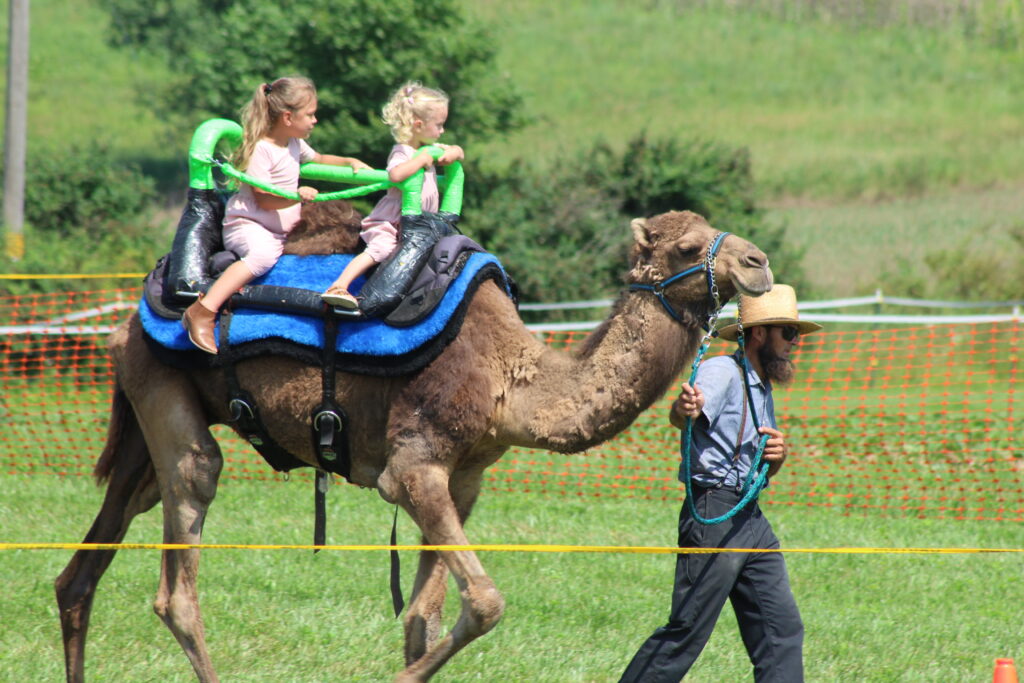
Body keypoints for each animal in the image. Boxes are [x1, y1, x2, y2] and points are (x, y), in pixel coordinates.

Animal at [54, 204, 772, 682]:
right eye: (688, 247)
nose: (758, 262)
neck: (510, 379)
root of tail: (127, 318)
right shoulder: (412, 468)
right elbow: (484, 602)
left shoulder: (464, 479)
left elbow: (421, 620)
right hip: (167, 394)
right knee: (181, 560)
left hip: (149, 413)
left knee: (81, 572)